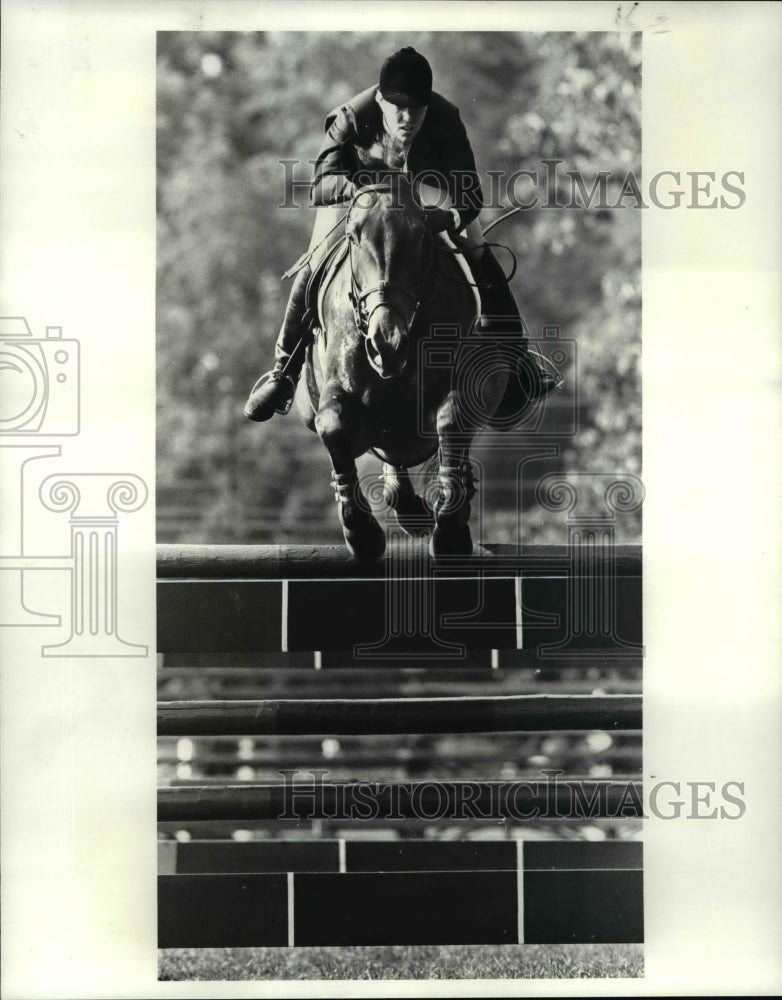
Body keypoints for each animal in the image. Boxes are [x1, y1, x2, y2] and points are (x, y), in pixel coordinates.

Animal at [298, 174, 512, 564]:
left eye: (420, 237)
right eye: (353, 237)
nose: (386, 342)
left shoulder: (479, 379)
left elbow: (450, 421)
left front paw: (450, 532)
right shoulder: (339, 389)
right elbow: (333, 425)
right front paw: (362, 534)